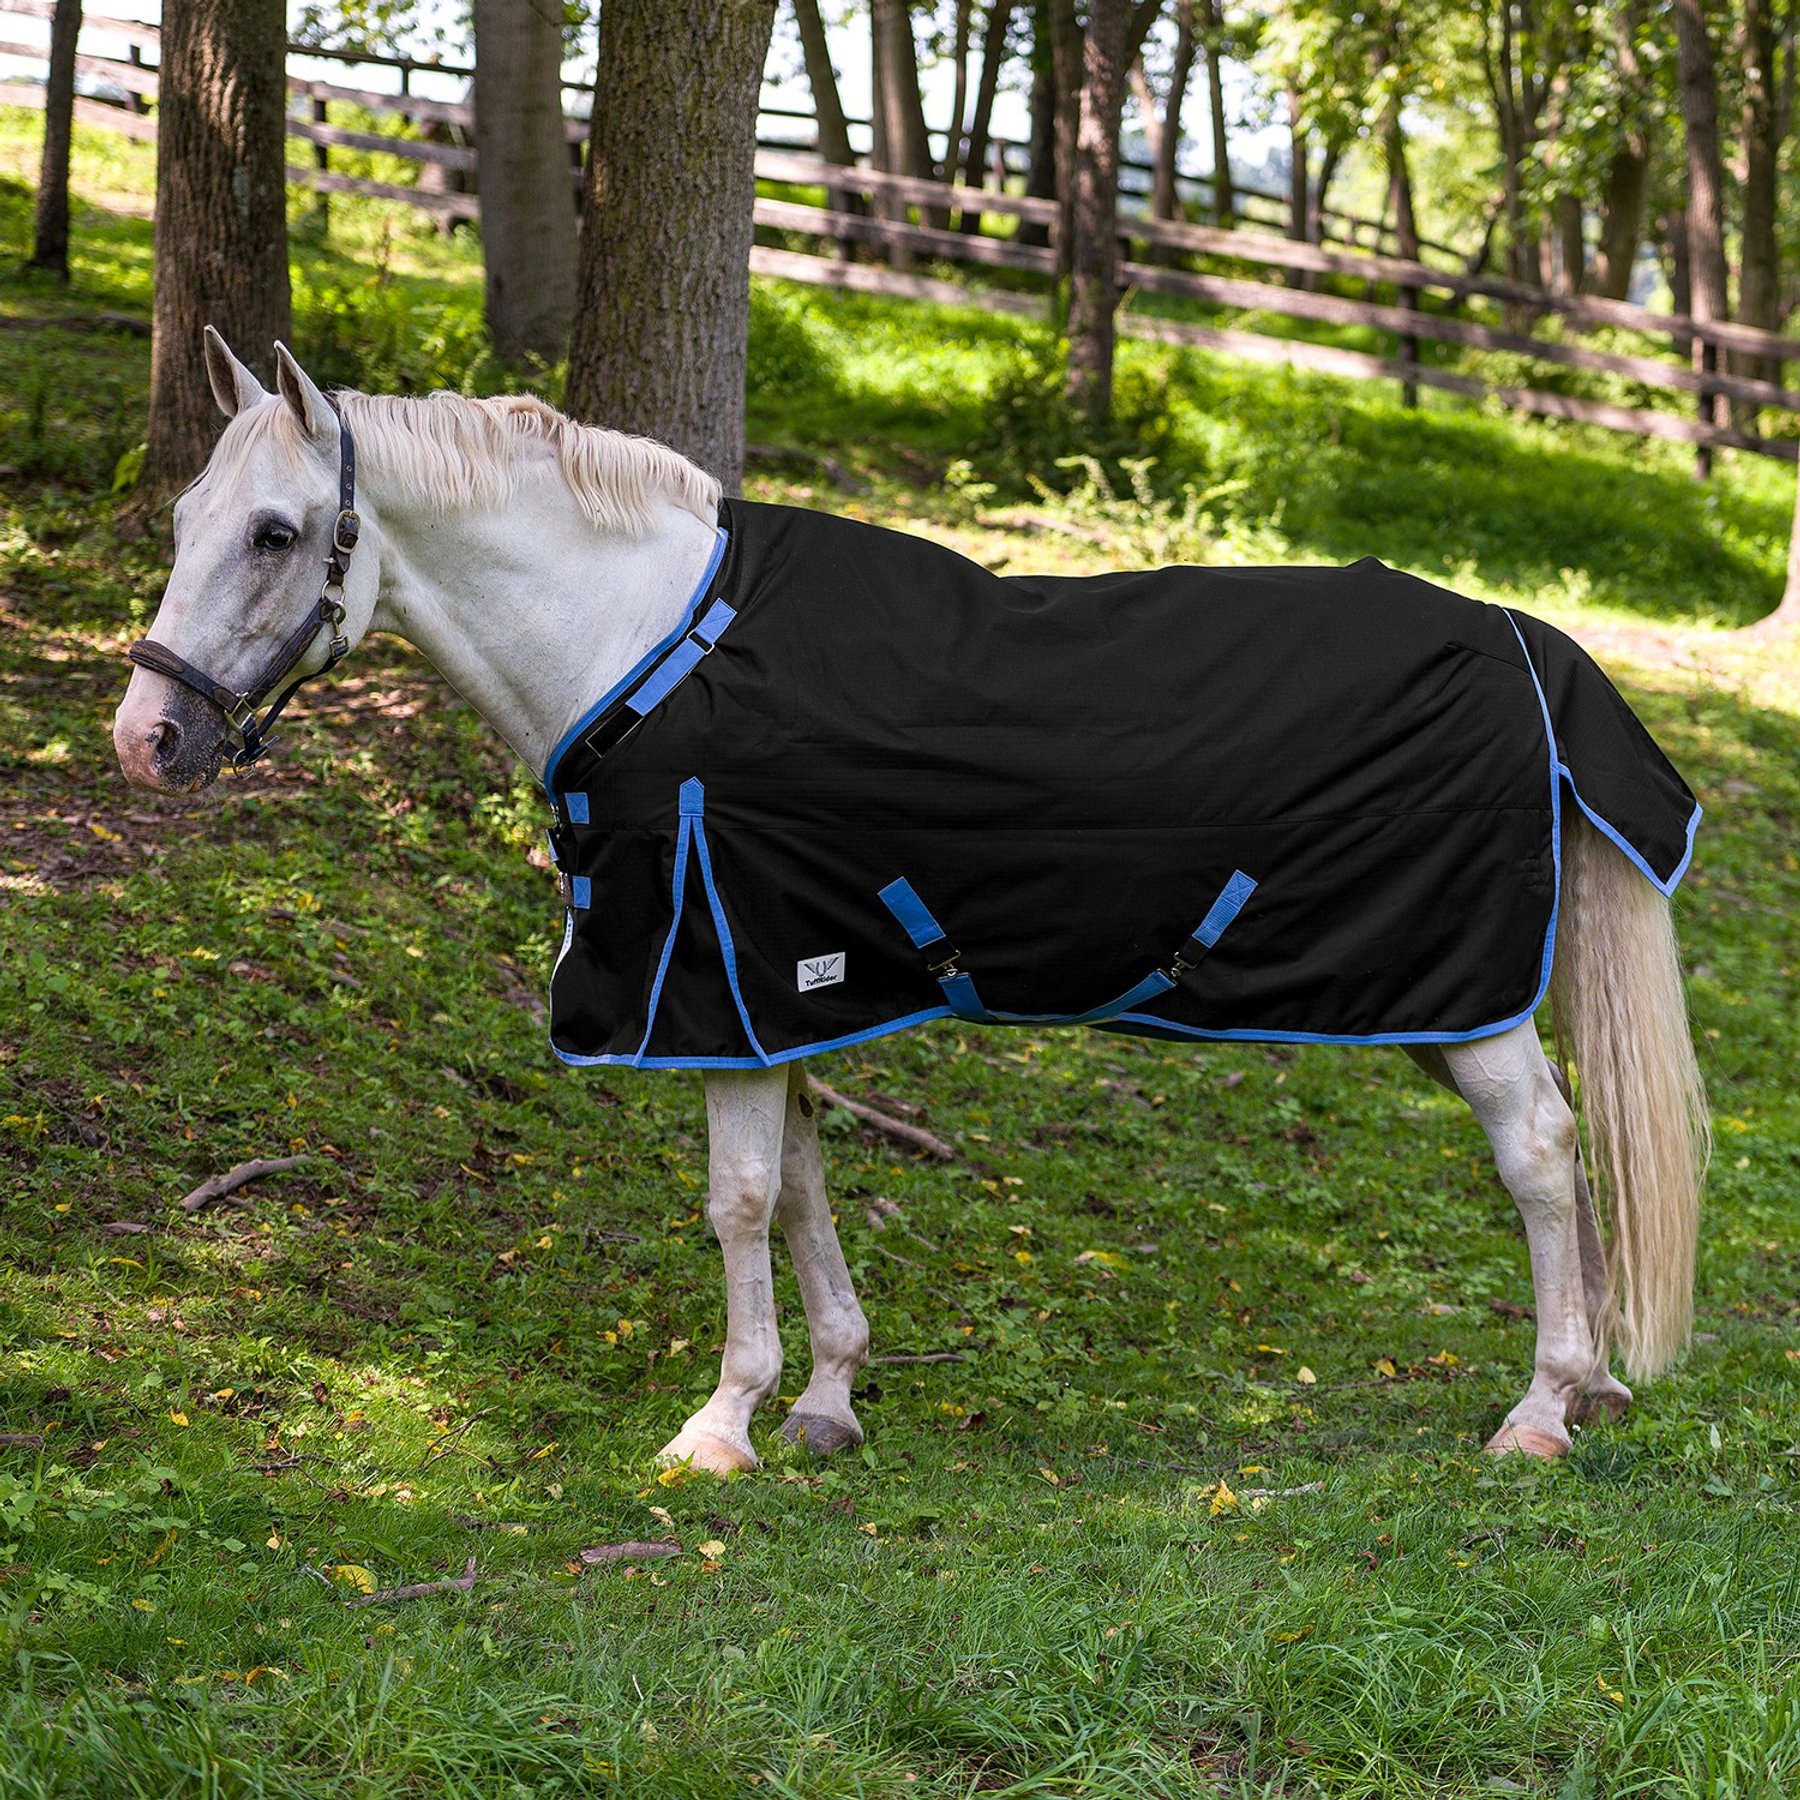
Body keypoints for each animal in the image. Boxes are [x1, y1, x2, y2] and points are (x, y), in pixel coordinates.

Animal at [113, 333, 1710, 1476]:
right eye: (188, 514)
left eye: (273, 532)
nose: (146, 738)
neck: (647, 648)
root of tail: (1521, 637)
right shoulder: (775, 988)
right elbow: (805, 1184)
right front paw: (825, 1397)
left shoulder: (718, 981)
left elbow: (738, 1198)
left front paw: (720, 1427)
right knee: (1567, 1153)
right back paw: (1594, 1386)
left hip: (1461, 995)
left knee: (1539, 1152)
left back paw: (1541, 1412)